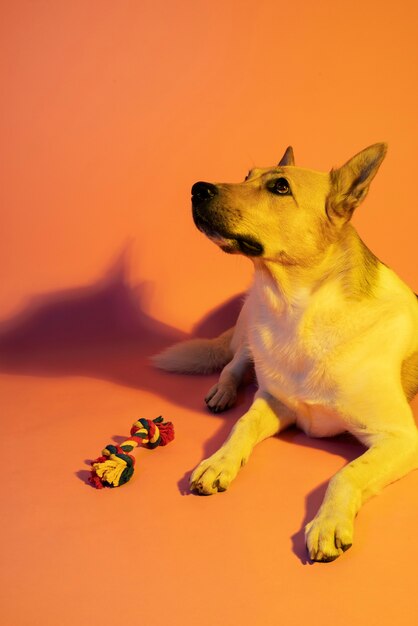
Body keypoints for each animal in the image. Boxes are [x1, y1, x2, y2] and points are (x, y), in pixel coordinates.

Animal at [153, 145, 418, 560]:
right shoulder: (275, 401)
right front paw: (218, 462)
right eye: (246, 175)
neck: (301, 311)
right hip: (249, 332)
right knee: (233, 366)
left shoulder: (400, 438)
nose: (197, 189)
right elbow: (243, 425)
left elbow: (347, 473)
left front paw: (329, 522)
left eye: (280, 187)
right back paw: (222, 392)